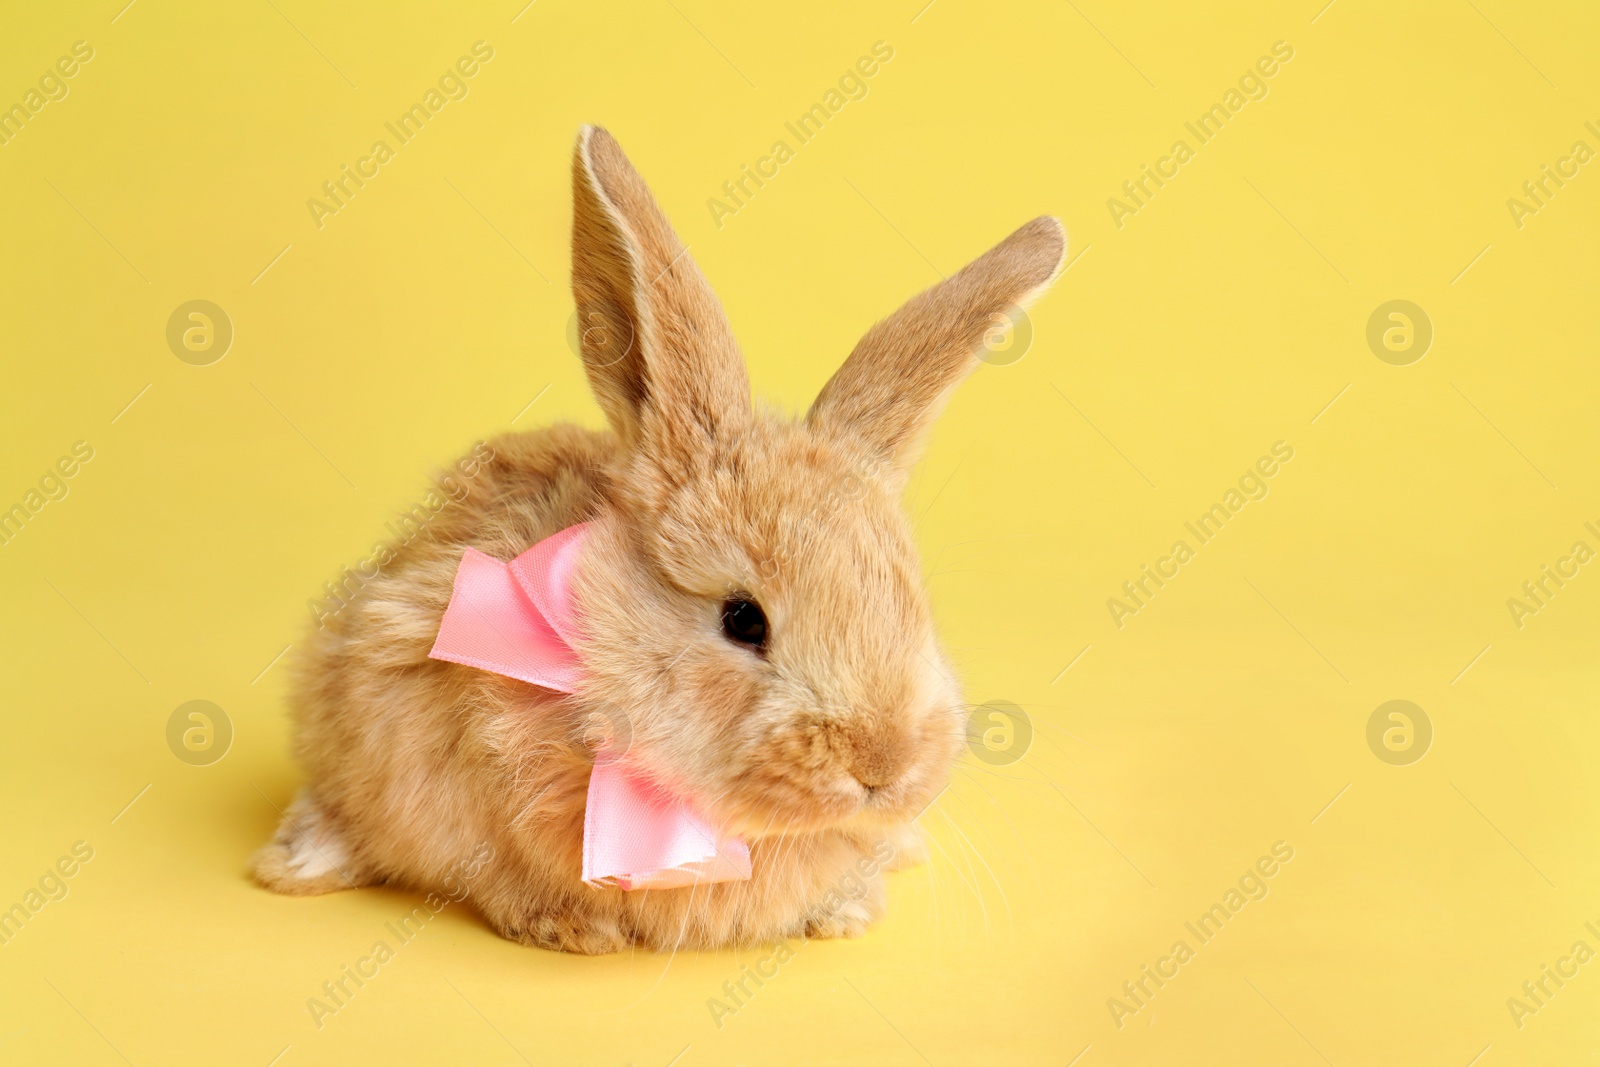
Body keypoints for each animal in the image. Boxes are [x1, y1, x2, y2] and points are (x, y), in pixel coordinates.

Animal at [249, 125, 1068, 953]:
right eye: (743, 619)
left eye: (912, 607)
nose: (884, 764)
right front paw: (573, 930)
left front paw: (846, 911)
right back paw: (295, 864)